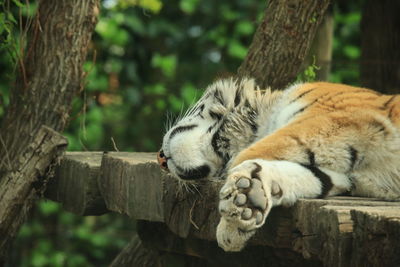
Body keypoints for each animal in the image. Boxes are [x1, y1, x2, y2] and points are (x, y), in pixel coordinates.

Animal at [156, 78, 400, 253]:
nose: (160, 160)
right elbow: (308, 176)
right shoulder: (345, 178)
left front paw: (231, 216)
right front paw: (244, 207)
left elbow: (248, 155)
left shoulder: (332, 115)